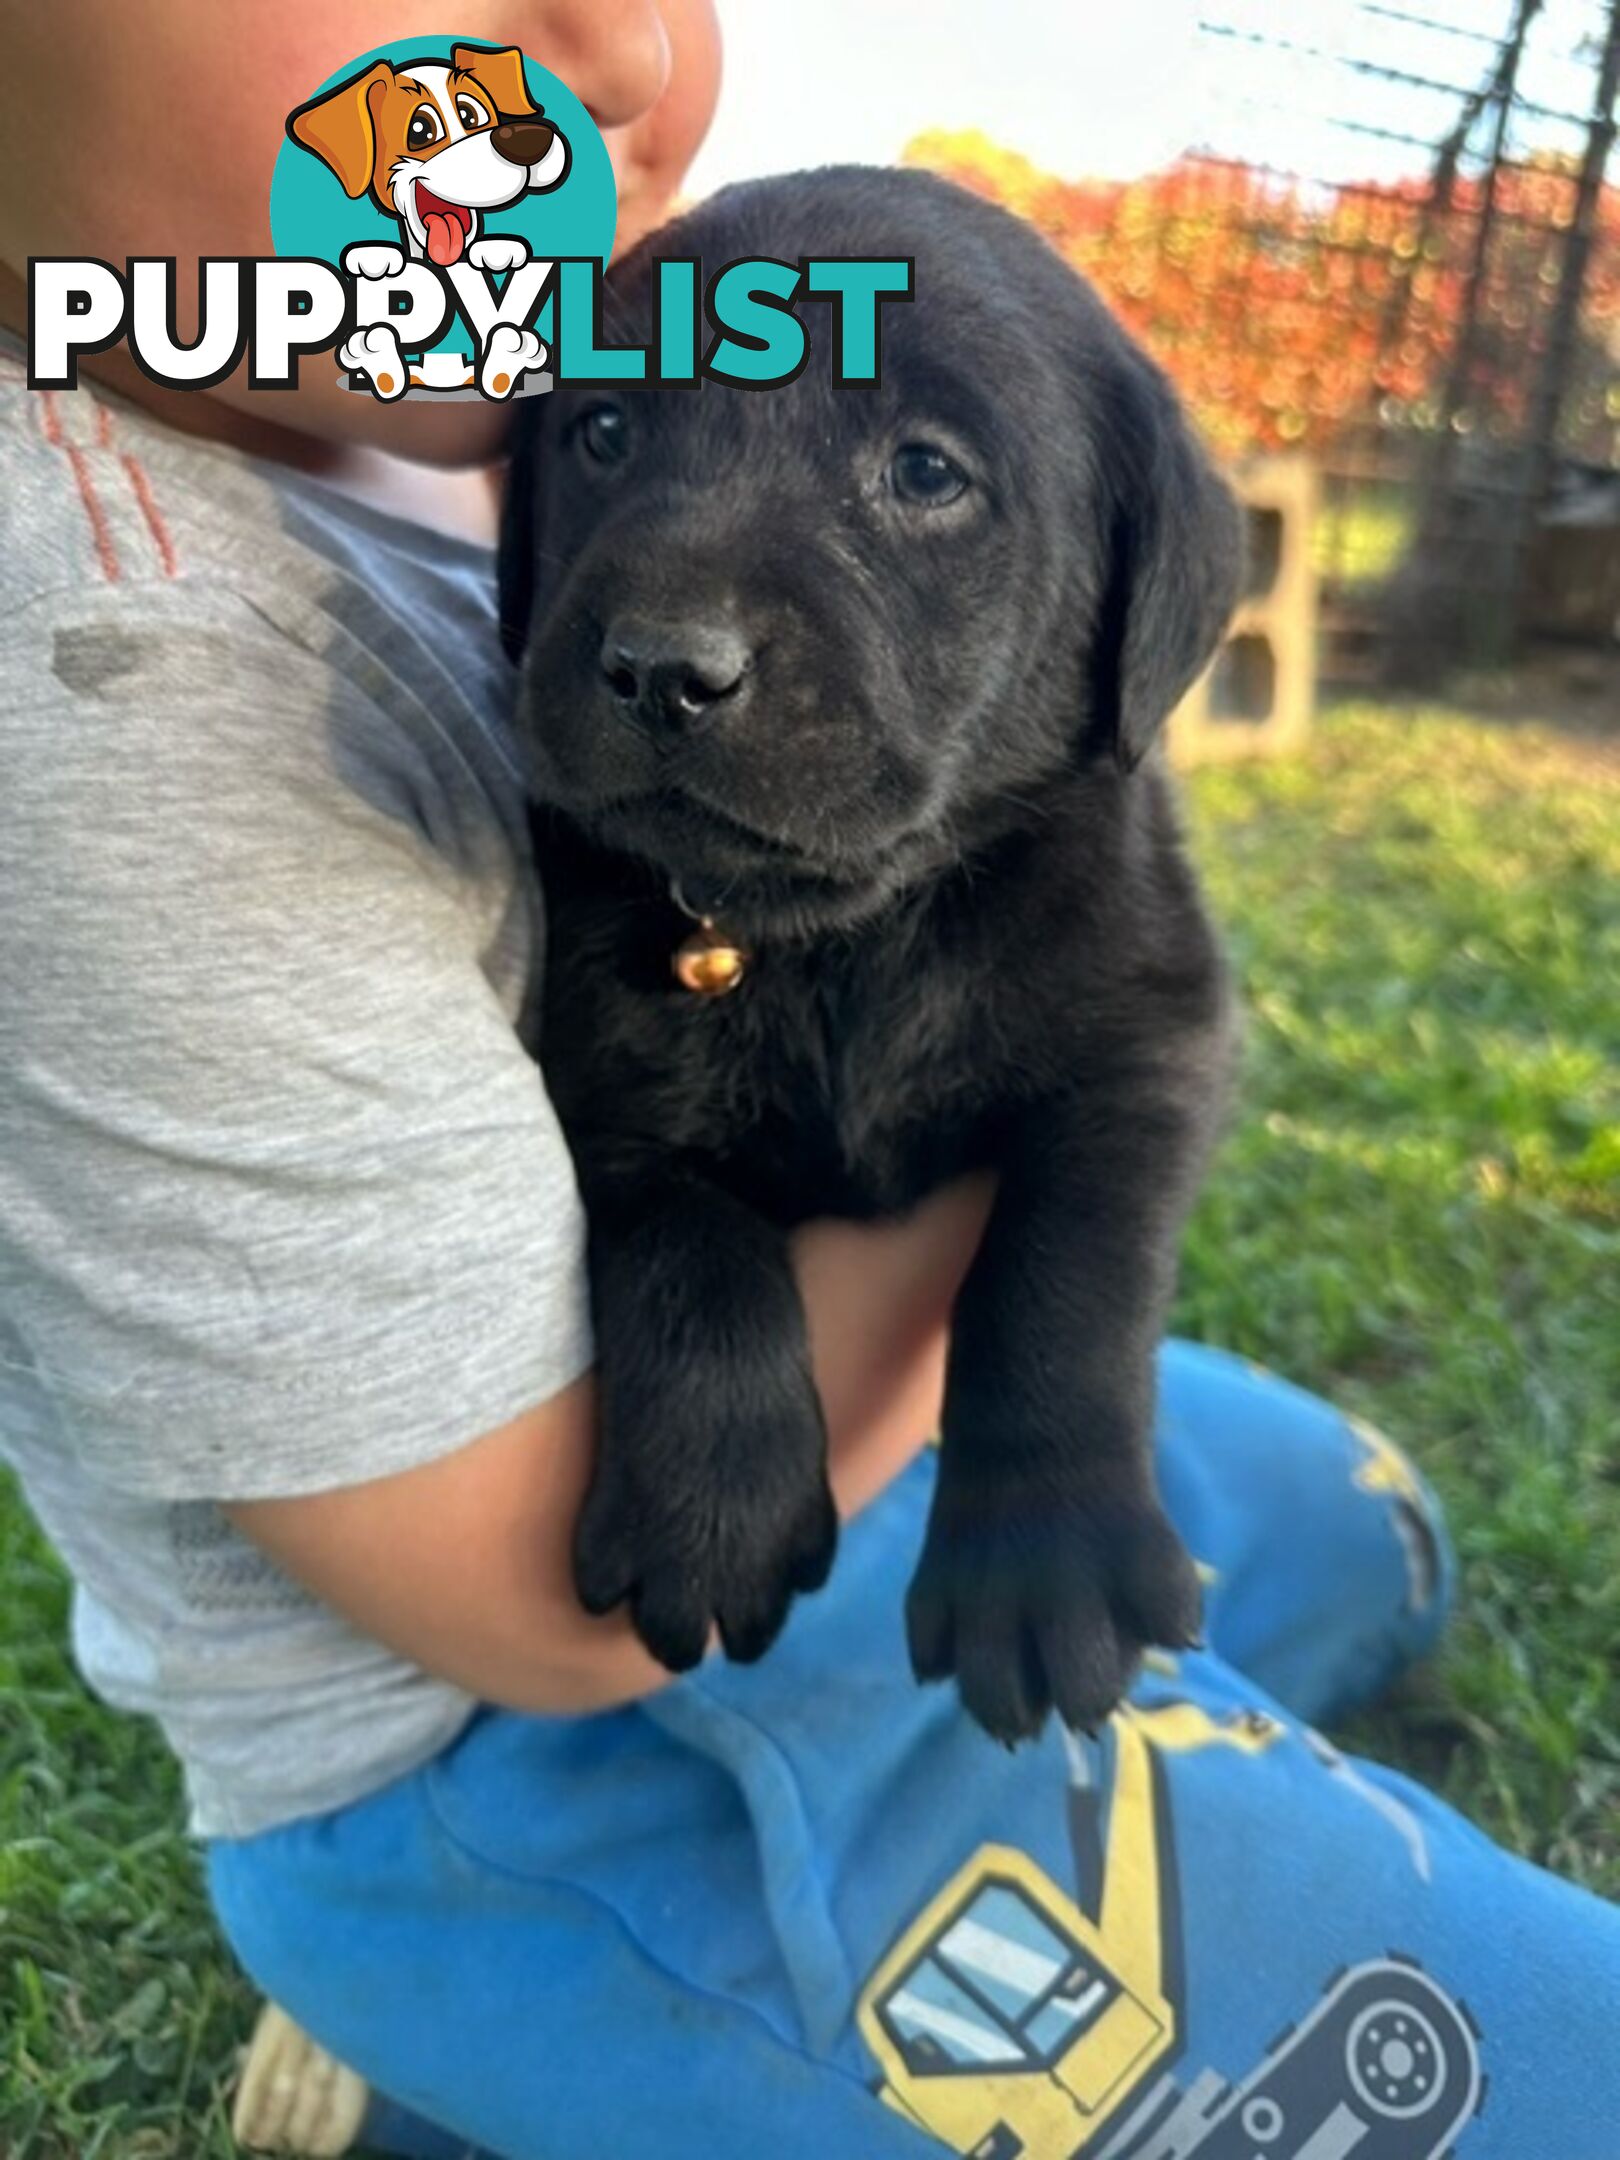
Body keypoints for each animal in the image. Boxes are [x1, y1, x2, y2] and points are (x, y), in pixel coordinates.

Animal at [501, 172, 1252, 1753]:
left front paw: (1046, 1554)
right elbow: (687, 1245)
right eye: (603, 434)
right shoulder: (597, 1083)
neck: (839, 940)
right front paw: (709, 1512)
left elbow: (1062, 1269)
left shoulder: (1151, 1038)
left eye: (924, 473)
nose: (663, 667)